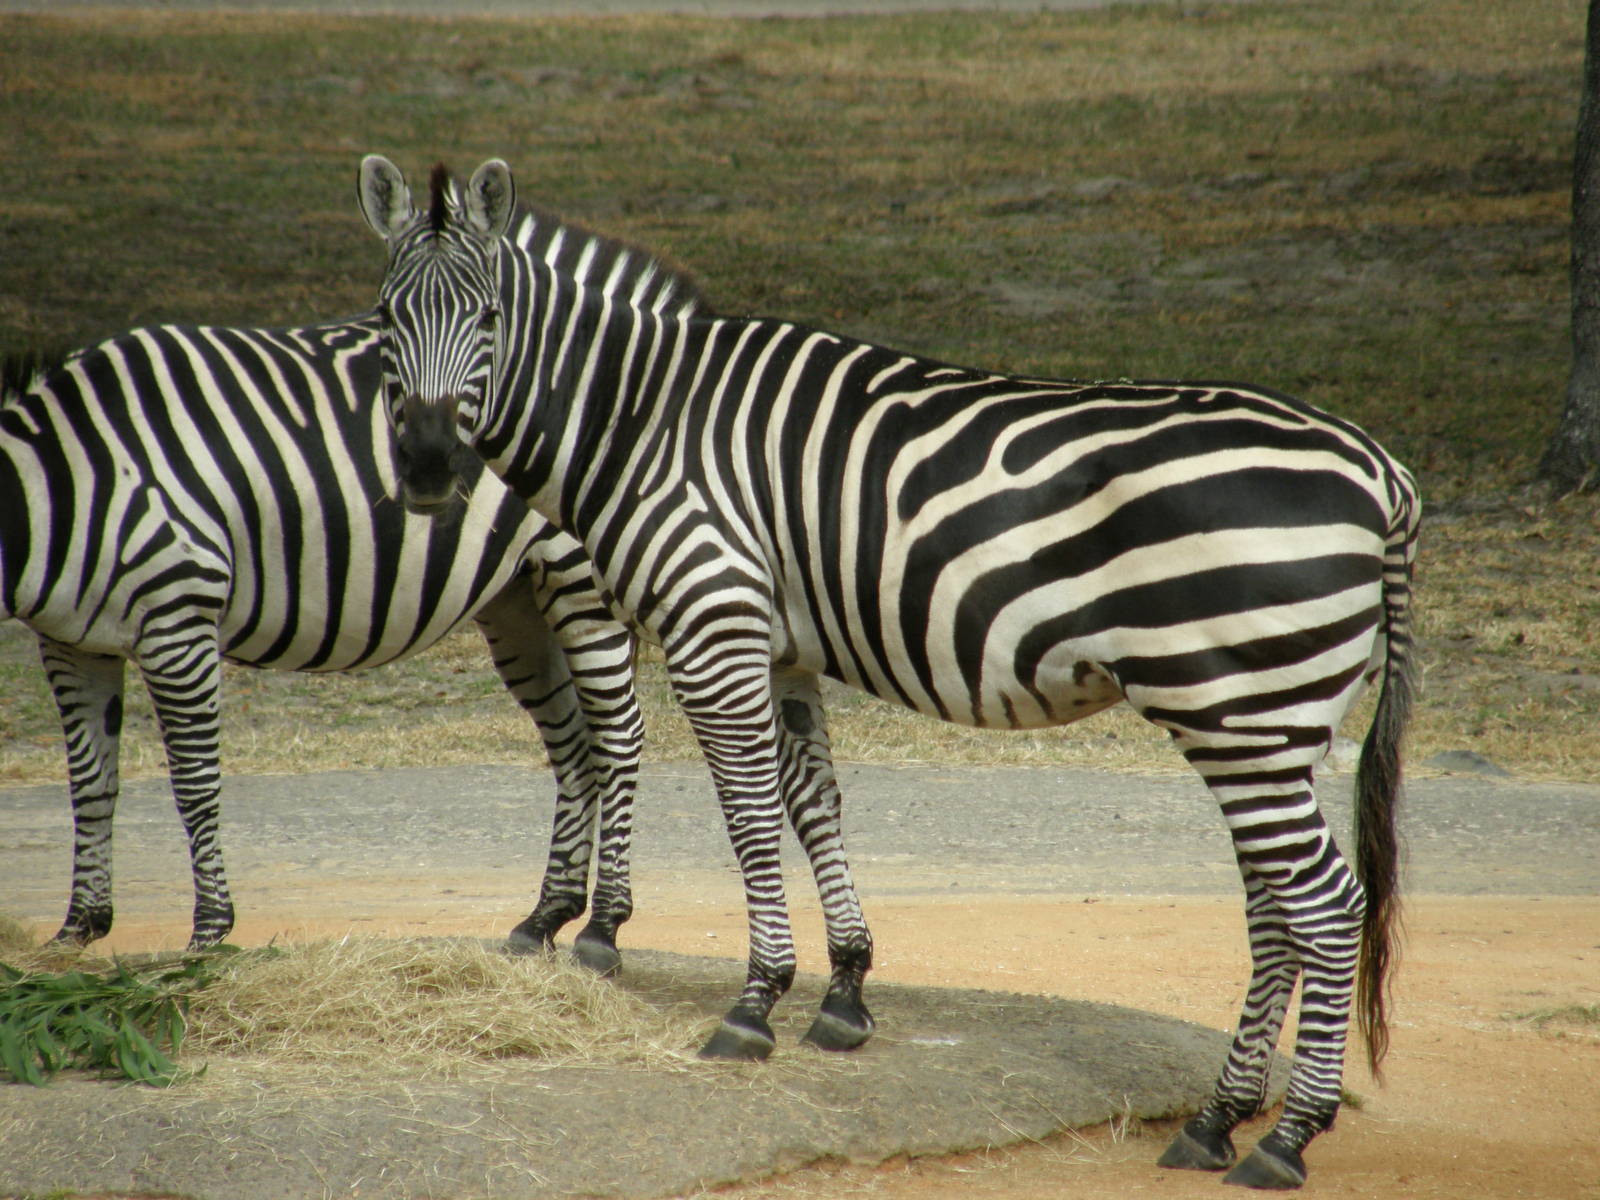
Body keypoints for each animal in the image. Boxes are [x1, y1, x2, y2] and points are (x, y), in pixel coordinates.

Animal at [0, 316, 649, 969]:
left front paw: (207, 935)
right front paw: (76, 929)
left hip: (579, 574)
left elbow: (193, 783)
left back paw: (603, 928)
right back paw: (545, 917)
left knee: (618, 735)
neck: (66, 485)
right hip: (518, 598)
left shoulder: (178, 617)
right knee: (573, 745)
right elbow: (90, 783)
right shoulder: (73, 643)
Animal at [358, 155, 1420, 1190]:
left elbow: (748, 815)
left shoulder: (714, 618)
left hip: (1239, 704)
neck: (643, 418)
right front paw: (846, 992)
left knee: (1326, 906)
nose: (426, 464)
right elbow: (811, 805)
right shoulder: (781, 644)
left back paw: (1287, 1140)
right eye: (384, 320)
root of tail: (1381, 470)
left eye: (489, 318)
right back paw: (1217, 1120)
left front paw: (755, 1003)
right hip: (1275, 718)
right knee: (1277, 904)